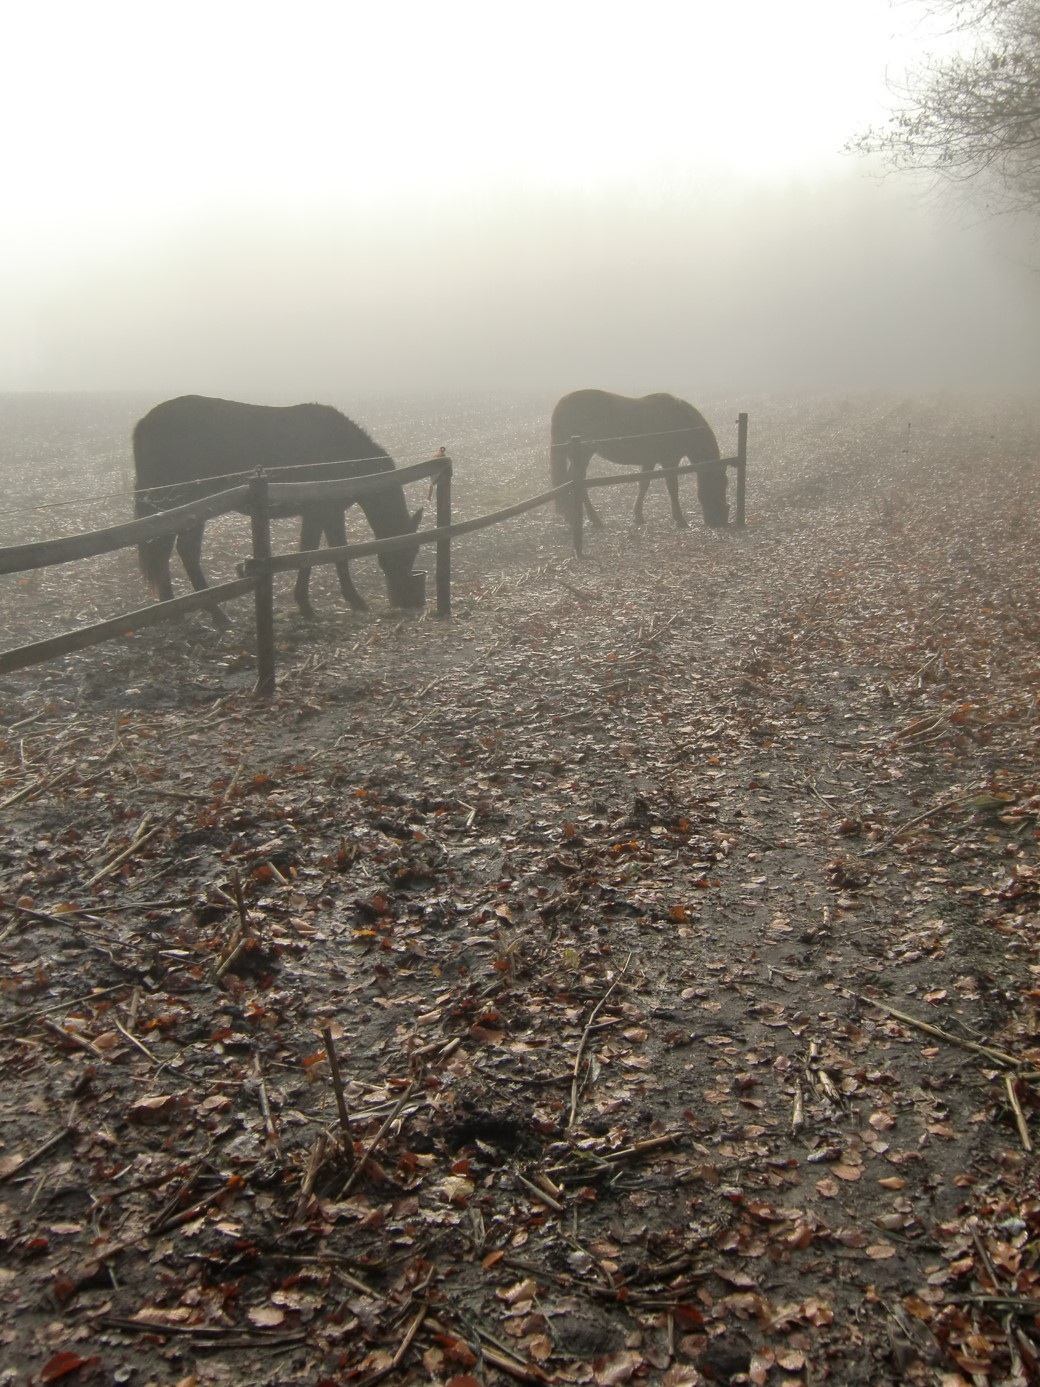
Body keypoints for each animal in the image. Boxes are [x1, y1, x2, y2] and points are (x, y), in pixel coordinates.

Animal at [133, 395, 425, 628]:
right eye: (405, 551)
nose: (406, 599)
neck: (343, 453)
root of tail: (144, 423)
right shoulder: (316, 514)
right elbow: (309, 554)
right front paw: (306, 606)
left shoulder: (331, 514)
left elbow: (339, 554)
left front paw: (355, 601)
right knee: (181, 552)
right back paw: (213, 616)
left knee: (170, 553)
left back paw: (178, 613)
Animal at [549, 390, 729, 529]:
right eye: (721, 484)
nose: (720, 521)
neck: (679, 420)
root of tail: (564, 401)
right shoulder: (669, 461)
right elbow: (672, 488)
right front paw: (679, 519)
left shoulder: (649, 461)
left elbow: (643, 484)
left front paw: (638, 516)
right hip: (584, 453)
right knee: (577, 481)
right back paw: (591, 519)